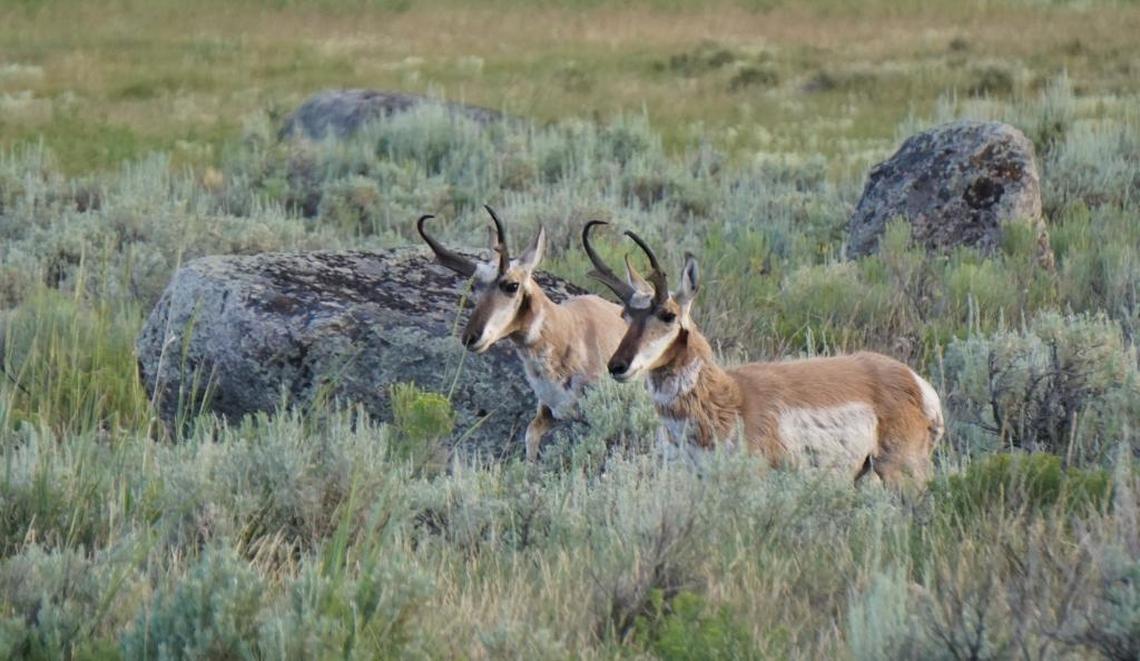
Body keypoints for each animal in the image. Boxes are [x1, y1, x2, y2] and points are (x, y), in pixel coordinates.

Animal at [417, 206, 626, 461]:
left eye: (512, 285)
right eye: (474, 286)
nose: (470, 337)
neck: (569, 331)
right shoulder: (547, 413)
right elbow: (530, 437)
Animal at [582, 222, 944, 487]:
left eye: (668, 315)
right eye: (625, 315)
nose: (617, 366)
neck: (731, 397)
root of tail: (916, 381)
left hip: (902, 473)